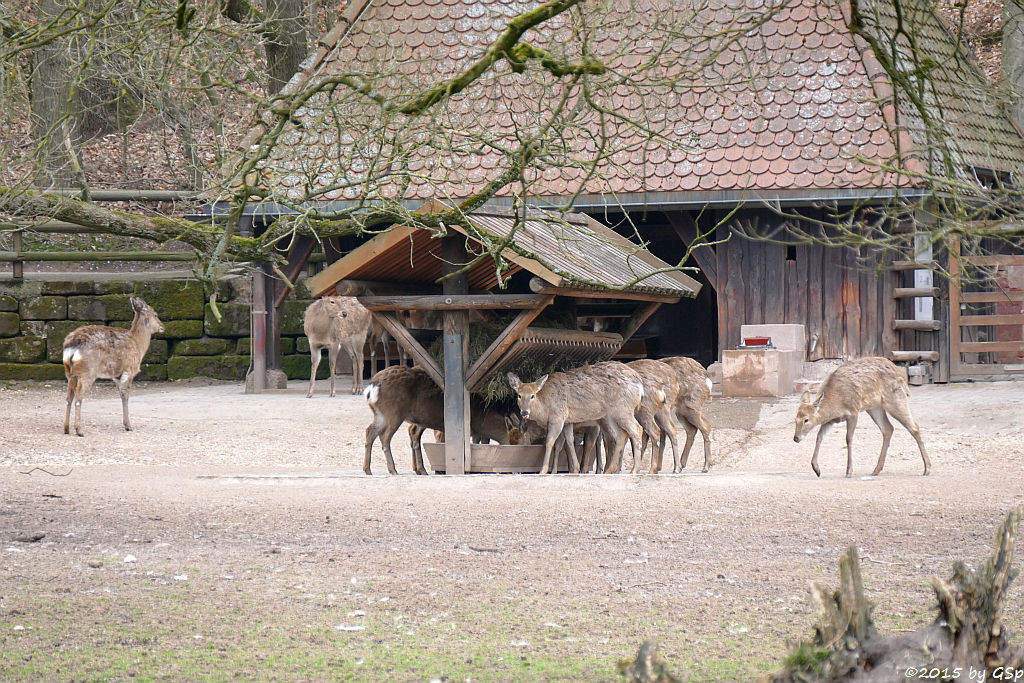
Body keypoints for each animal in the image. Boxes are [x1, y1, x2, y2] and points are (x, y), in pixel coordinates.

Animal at [62, 294, 162, 436]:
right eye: (155, 314)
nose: (162, 327)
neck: (139, 344)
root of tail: (71, 346)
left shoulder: (116, 375)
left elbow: (121, 395)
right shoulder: (130, 370)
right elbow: (126, 395)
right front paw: (128, 426)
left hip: (69, 372)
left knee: (68, 397)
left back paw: (66, 429)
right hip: (87, 372)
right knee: (78, 396)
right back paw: (79, 430)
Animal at [364, 362, 516, 475]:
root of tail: (372, 387)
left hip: (381, 414)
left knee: (371, 431)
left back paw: (368, 469)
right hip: (393, 413)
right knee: (385, 437)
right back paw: (393, 470)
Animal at [509, 362, 643, 475]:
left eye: (532, 396)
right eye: (519, 395)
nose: (524, 412)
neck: (545, 406)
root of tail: (640, 385)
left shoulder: (557, 416)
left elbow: (550, 442)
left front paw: (543, 471)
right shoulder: (567, 422)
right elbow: (569, 442)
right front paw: (575, 469)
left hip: (622, 409)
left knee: (637, 429)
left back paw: (634, 470)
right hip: (611, 414)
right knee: (621, 435)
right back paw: (610, 470)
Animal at [794, 356, 933, 479]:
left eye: (806, 419)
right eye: (795, 420)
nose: (796, 438)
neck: (836, 402)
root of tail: (903, 377)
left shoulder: (853, 411)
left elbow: (848, 439)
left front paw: (849, 471)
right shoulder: (830, 420)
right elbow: (819, 437)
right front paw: (816, 469)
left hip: (896, 399)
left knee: (914, 427)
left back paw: (927, 468)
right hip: (874, 407)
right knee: (888, 428)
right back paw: (876, 470)